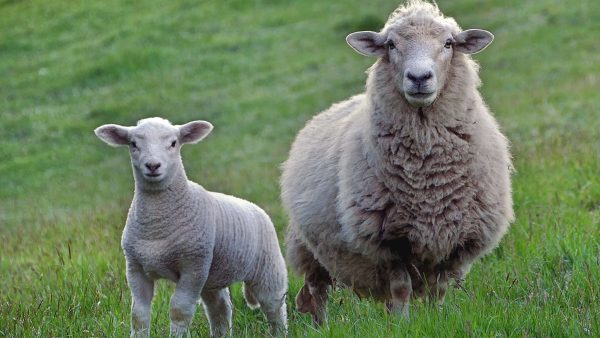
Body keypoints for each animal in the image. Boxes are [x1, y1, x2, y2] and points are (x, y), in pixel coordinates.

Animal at [94, 117, 288, 336]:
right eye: (133, 144)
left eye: (173, 143)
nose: (153, 165)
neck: (156, 226)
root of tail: (255, 207)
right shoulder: (135, 268)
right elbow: (138, 315)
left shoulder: (193, 266)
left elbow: (179, 310)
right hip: (212, 276)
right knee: (220, 309)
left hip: (268, 269)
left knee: (275, 307)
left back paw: (279, 331)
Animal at [280, 0, 510, 322]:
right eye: (390, 44)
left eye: (448, 43)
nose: (419, 78)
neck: (428, 177)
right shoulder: (388, 241)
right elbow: (401, 288)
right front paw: (403, 324)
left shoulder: (454, 240)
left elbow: (438, 289)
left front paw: (435, 319)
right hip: (308, 248)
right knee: (317, 292)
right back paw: (322, 325)